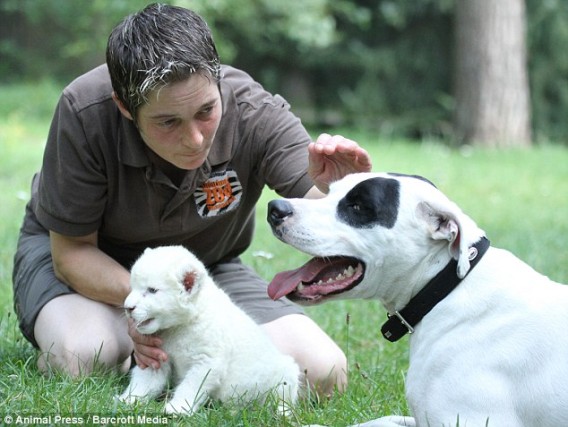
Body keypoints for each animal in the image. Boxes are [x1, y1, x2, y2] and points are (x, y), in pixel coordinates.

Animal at [118, 246, 300, 416]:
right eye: (133, 287)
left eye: (152, 290)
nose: (128, 307)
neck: (180, 326)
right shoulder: (157, 355)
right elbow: (145, 380)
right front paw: (129, 400)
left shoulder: (207, 359)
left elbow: (191, 385)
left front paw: (177, 409)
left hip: (285, 373)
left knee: (283, 397)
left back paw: (280, 412)